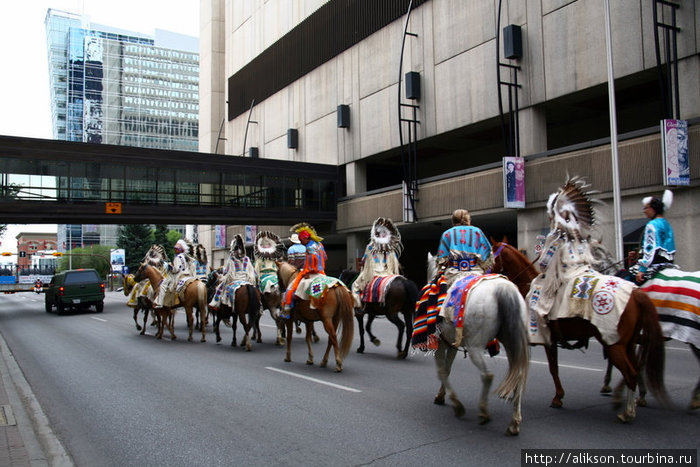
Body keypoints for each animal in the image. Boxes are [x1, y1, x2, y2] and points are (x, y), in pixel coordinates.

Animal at [422, 254, 532, 436]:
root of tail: (504, 290)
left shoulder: (441, 342)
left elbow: (442, 371)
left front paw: (455, 404)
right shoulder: (452, 343)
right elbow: (447, 369)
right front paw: (441, 395)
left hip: (476, 347)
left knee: (488, 376)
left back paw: (483, 413)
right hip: (512, 342)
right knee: (519, 375)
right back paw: (514, 423)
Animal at [490, 241, 668, 424]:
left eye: (491, 255)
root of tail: (636, 293)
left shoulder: (547, 340)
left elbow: (550, 368)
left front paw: (556, 397)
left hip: (614, 344)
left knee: (631, 373)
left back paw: (627, 411)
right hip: (628, 344)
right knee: (636, 368)